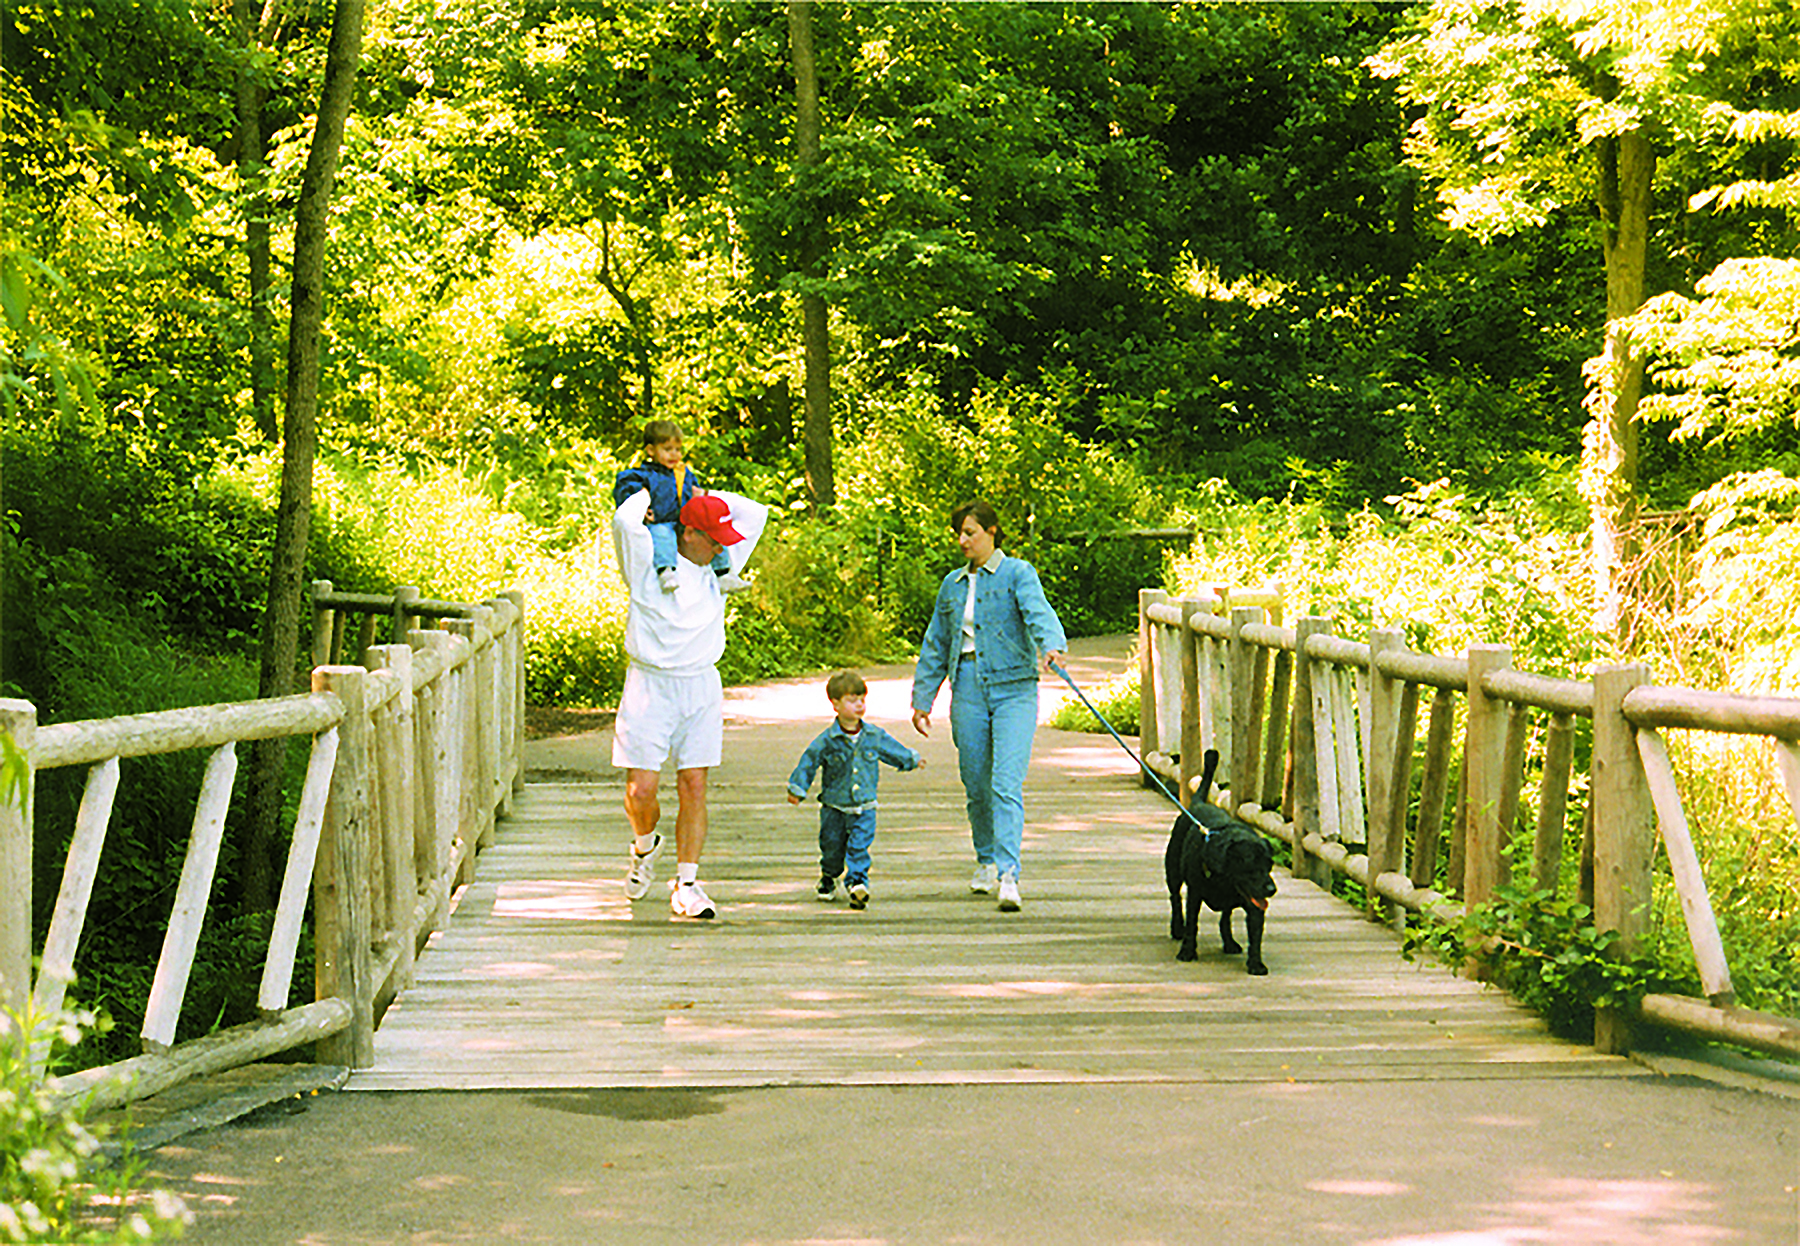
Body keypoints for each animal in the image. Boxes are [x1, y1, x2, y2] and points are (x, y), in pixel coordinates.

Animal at [1166, 749, 1281, 972]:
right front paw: (1187, 951)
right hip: (1172, 869)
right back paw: (1177, 928)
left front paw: (1256, 963)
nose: (1272, 889)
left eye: (1269, 865)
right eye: (1250, 866)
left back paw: (1229, 943)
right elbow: (1192, 924)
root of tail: (1198, 803)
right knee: (1175, 897)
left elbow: (1255, 936)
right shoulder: (1195, 894)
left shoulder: (1255, 905)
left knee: (1225, 917)